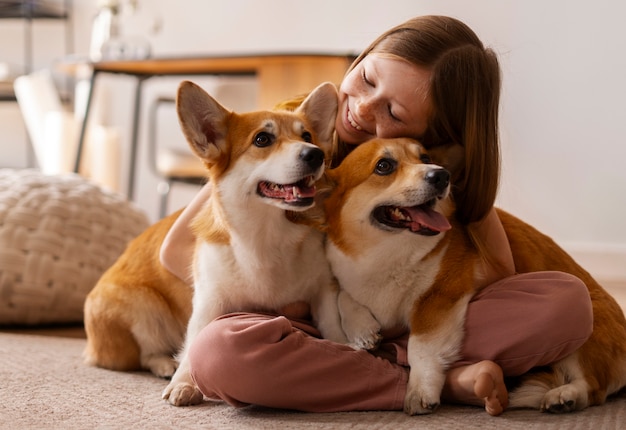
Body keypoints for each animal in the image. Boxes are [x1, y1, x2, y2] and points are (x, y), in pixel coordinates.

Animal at [81, 81, 346, 406]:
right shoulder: (210, 300)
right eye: (262, 139)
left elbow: (333, 327)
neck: (267, 235)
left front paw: (348, 350)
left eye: (306, 135)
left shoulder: (323, 288)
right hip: (142, 306)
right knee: (146, 353)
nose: (315, 154)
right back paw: (165, 365)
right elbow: (195, 341)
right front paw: (184, 383)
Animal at [322, 137, 624, 414]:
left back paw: (564, 396)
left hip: (587, 329)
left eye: (425, 157)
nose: (441, 175)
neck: (386, 253)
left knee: (594, 387)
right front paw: (362, 331)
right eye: (383, 166)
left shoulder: (440, 296)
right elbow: (342, 295)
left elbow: (420, 346)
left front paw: (419, 392)